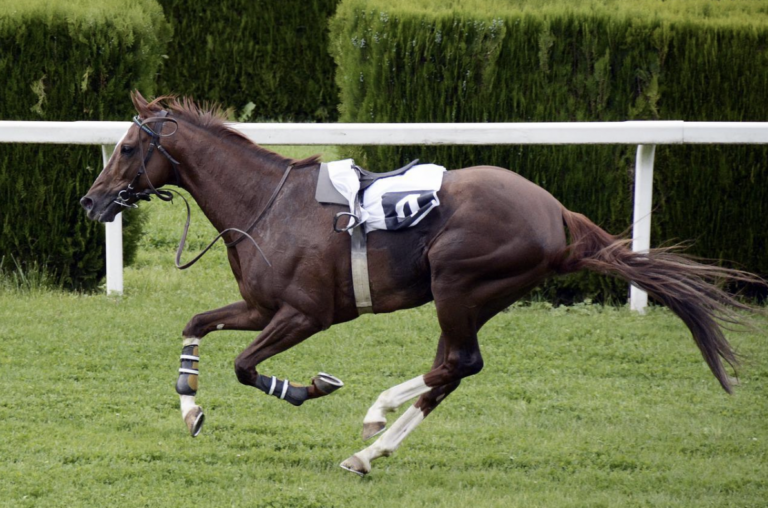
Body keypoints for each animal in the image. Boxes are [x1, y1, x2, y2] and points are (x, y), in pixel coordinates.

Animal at [80, 91, 761, 476]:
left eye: (127, 147)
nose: (91, 201)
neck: (266, 205)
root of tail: (556, 213)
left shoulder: (305, 314)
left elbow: (247, 367)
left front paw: (309, 387)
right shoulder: (260, 305)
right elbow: (196, 325)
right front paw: (190, 408)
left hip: (458, 283)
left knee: (457, 363)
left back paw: (375, 417)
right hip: (472, 296)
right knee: (451, 371)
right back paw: (369, 452)